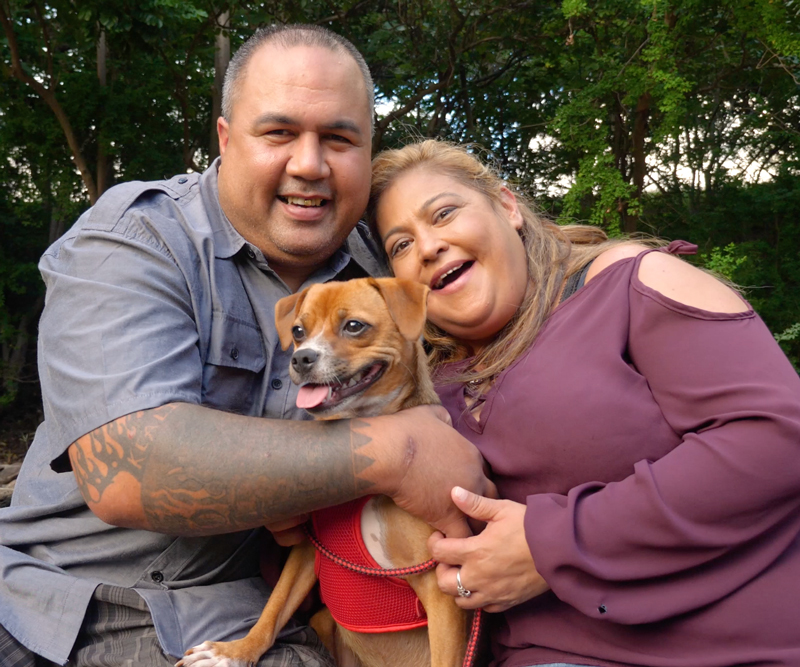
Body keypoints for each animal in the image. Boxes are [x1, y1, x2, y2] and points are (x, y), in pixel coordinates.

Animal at [177, 278, 468, 667]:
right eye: (298, 331)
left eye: (354, 326)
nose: (301, 357)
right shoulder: (305, 553)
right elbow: (273, 611)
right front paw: (235, 651)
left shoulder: (441, 591)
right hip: (322, 620)